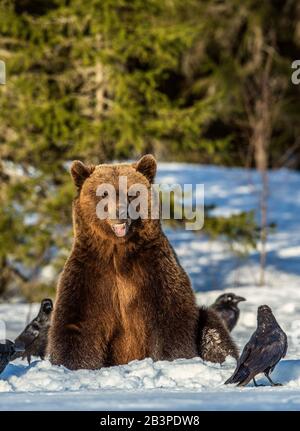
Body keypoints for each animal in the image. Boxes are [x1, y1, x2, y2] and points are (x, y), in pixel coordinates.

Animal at [48, 155, 238, 372]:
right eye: (103, 193)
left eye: (131, 193)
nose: (120, 213)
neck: (118, 251)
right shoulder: (91, 274)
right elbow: (76, 325)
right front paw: (74, 365)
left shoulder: (152, 270)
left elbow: (170, 319)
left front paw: (172, 359)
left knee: (213, 329)